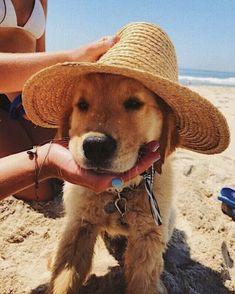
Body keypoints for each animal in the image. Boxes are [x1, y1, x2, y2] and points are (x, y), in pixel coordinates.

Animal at [48, 72, 179, 294]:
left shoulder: (148, 237)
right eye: (82, 104)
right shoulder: (78, 225)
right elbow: (64, 278)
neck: (119, 192)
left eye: (134, 103)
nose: (96, 146)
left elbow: (144, 281)